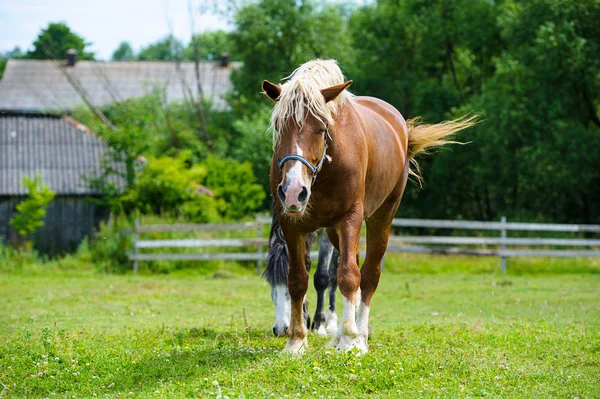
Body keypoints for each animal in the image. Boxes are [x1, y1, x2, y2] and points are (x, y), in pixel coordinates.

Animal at [262, 57, 474, 354]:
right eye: (280, 127)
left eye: (321, 129)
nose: (293, 191)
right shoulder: (292, 224)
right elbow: (299, 279)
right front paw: (296, 341)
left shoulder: (350, 218)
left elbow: (346, 276)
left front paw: (348, 339)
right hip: (333, 231)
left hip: (380, 219)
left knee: (369, 274)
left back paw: (359, 333)